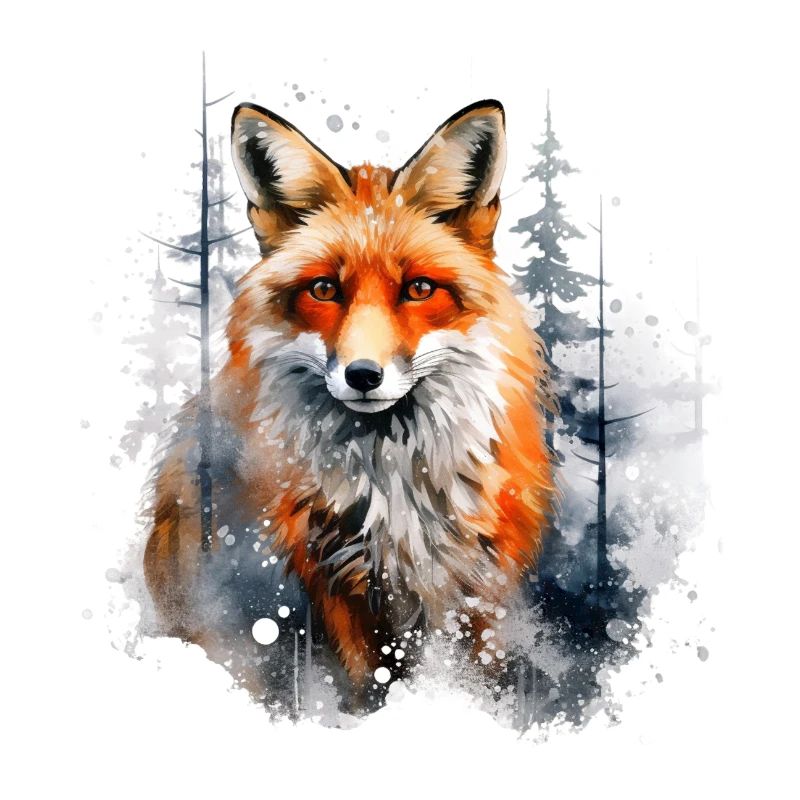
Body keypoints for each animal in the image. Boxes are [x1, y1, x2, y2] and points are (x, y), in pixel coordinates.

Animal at [143, 99, 558, 709]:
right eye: (323, 290)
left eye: (418, 289)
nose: (363, 375)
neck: (395, 484)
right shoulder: (335, 585)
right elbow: (366, 691)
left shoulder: (480, 588)